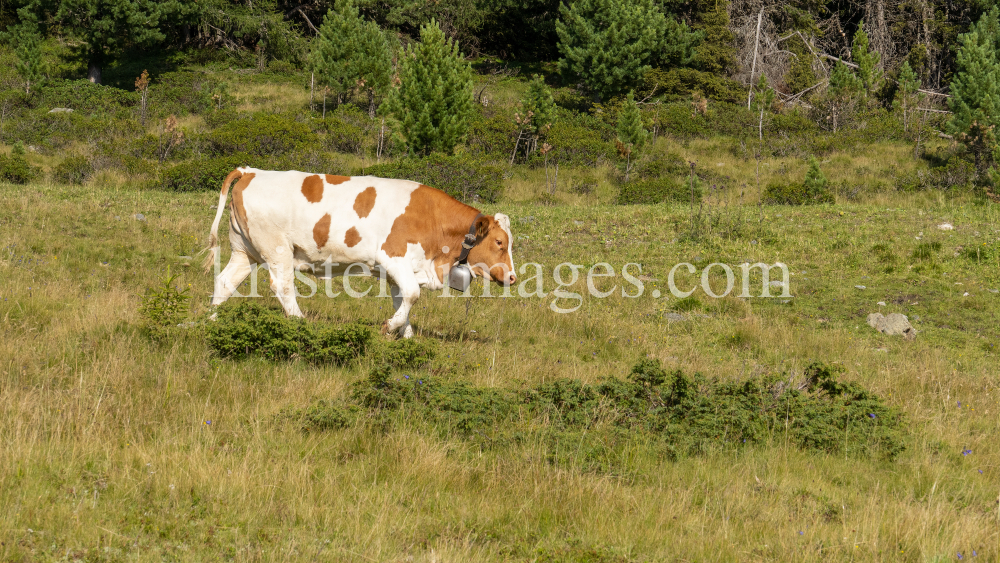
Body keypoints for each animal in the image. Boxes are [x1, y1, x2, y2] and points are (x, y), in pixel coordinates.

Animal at [200, 165, 520, 338]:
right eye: (499, 243)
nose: (513, 277)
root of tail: (251, 171)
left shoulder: (403, 269)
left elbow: (403, 298)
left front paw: (406, 335)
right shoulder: (393, 257)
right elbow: (413, 294)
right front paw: (390, 327)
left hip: (245, 250)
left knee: (226, 281)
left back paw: (212, 321)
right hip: (277, 248)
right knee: (282, 285)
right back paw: (301, 323)